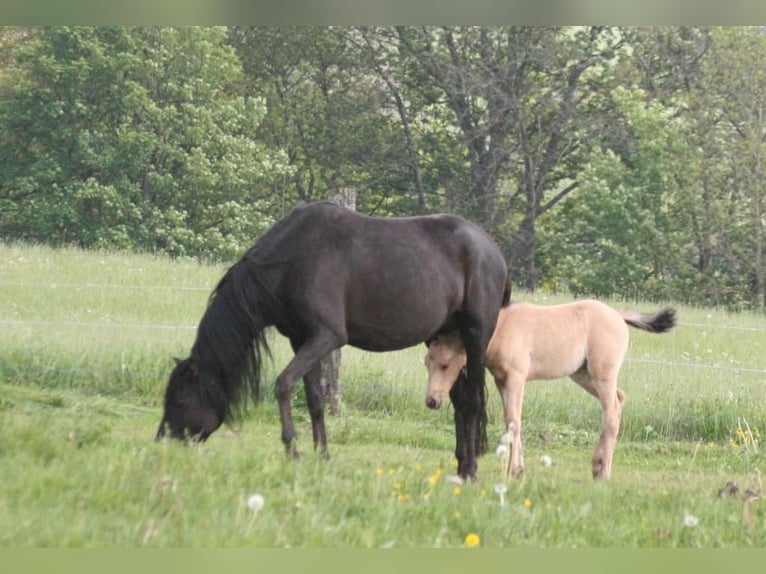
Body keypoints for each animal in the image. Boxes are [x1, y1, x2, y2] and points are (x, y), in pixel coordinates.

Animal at [156, 202, 510, 482]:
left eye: (181, 402)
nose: (161, 443)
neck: (290, 262)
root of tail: (493, 249)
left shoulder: (326, 337)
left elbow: (284, 384)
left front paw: (292, 450)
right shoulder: (302, 340)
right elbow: (314, 399)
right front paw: (321, 455)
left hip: (476, 336)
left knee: (473, 401)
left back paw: (472, 469)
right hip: (445, 338)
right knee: (460, 402)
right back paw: (461, 467)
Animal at [426, 302, 680, 482]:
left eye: (445, 365)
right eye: (427, 363)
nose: (432, 401)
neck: (501, 329)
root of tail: (618, 314)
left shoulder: (517, 377)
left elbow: (514, 420)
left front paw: (514, 470)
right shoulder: (501, 380)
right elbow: (510, 420)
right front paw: (518, 468)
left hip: (601, 375)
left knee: (612, 413)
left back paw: (603, 472)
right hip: (582, 375)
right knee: (620, 398)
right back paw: (597, 465)